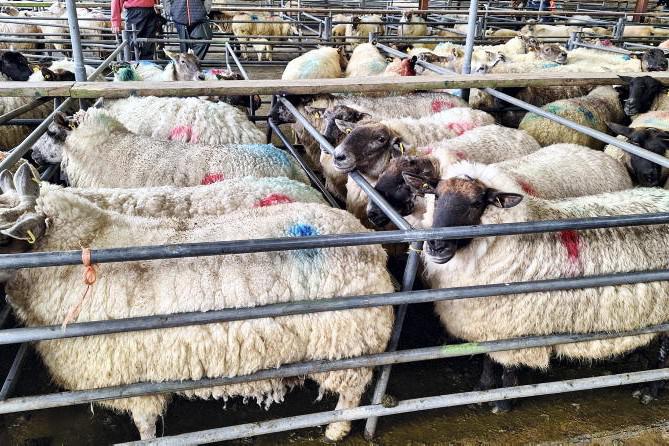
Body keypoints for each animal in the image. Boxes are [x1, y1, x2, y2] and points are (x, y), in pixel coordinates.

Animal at [0, 164, 394, 442]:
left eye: (5, 241)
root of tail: (371, 244)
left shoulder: (132, 377)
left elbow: (145, 426)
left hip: (350, 342)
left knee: (352, 390)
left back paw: (336, 429)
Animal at [419, 165, 669, 410]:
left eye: (476, 204)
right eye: (437, 197)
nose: (436, 246)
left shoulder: (515, 328)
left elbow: (508, 365)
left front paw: (504, 400)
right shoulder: (489, 323)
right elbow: (488, 359)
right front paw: (482, 391)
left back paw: (651, 390)